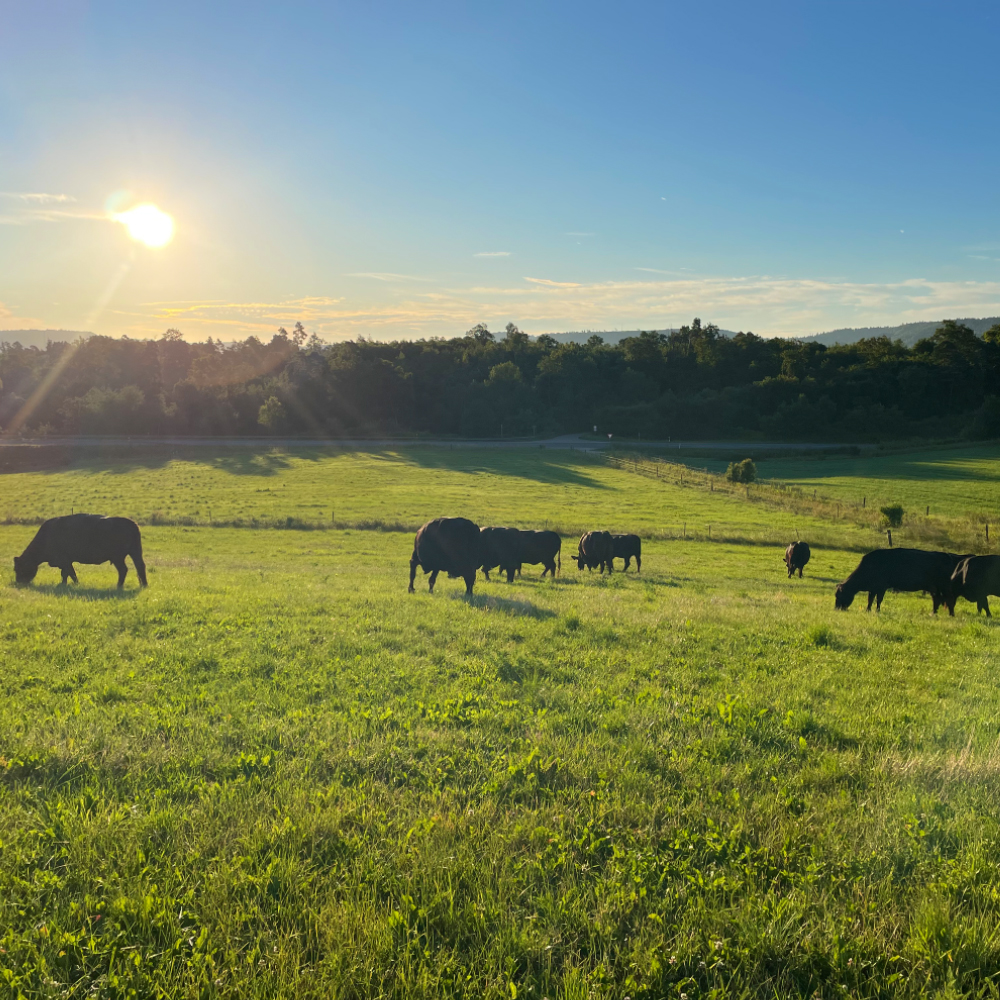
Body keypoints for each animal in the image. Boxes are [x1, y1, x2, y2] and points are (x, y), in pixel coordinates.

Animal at [13, 512, 147, 588]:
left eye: (20, 568)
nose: (19, 582)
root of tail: (132, 523)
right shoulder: (67, 562)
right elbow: (70, 573)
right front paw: (71, 584)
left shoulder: (64, 561)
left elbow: (68, 573)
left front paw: (67, 584)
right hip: (135, 553)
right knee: (140, 566)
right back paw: (144, 585)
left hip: (118, 557)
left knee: (123, 570)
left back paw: (118, 586)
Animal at [836, 544, 968, 612]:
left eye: (840, 595)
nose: (836, 608)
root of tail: (948, 555)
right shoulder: (873, 588)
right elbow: (870, 599)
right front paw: (868, 610)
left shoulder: (882, 587)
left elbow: (878, 600)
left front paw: (877, 611)